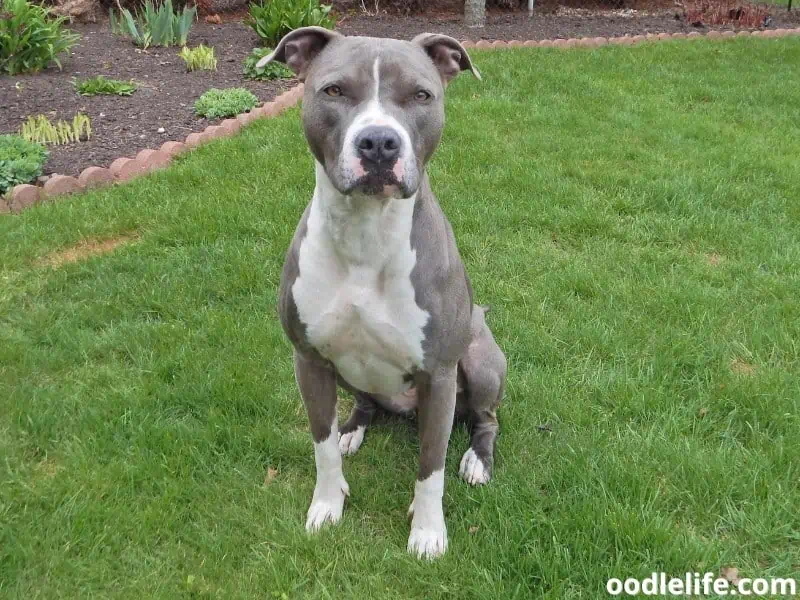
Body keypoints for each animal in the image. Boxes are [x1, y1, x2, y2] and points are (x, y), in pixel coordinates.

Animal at [258, 24, 506, 556]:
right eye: (333, 90)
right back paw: (354, 429)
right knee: (365, 403)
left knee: (486, 419)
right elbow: (322, 447)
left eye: (421, 95)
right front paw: (327, 505)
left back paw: (477, 460)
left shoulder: (438, 375)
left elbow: (431, 467)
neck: (365, 235)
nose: (378, 143)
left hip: (479, 361)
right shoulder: (308, 360)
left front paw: (427, 533)